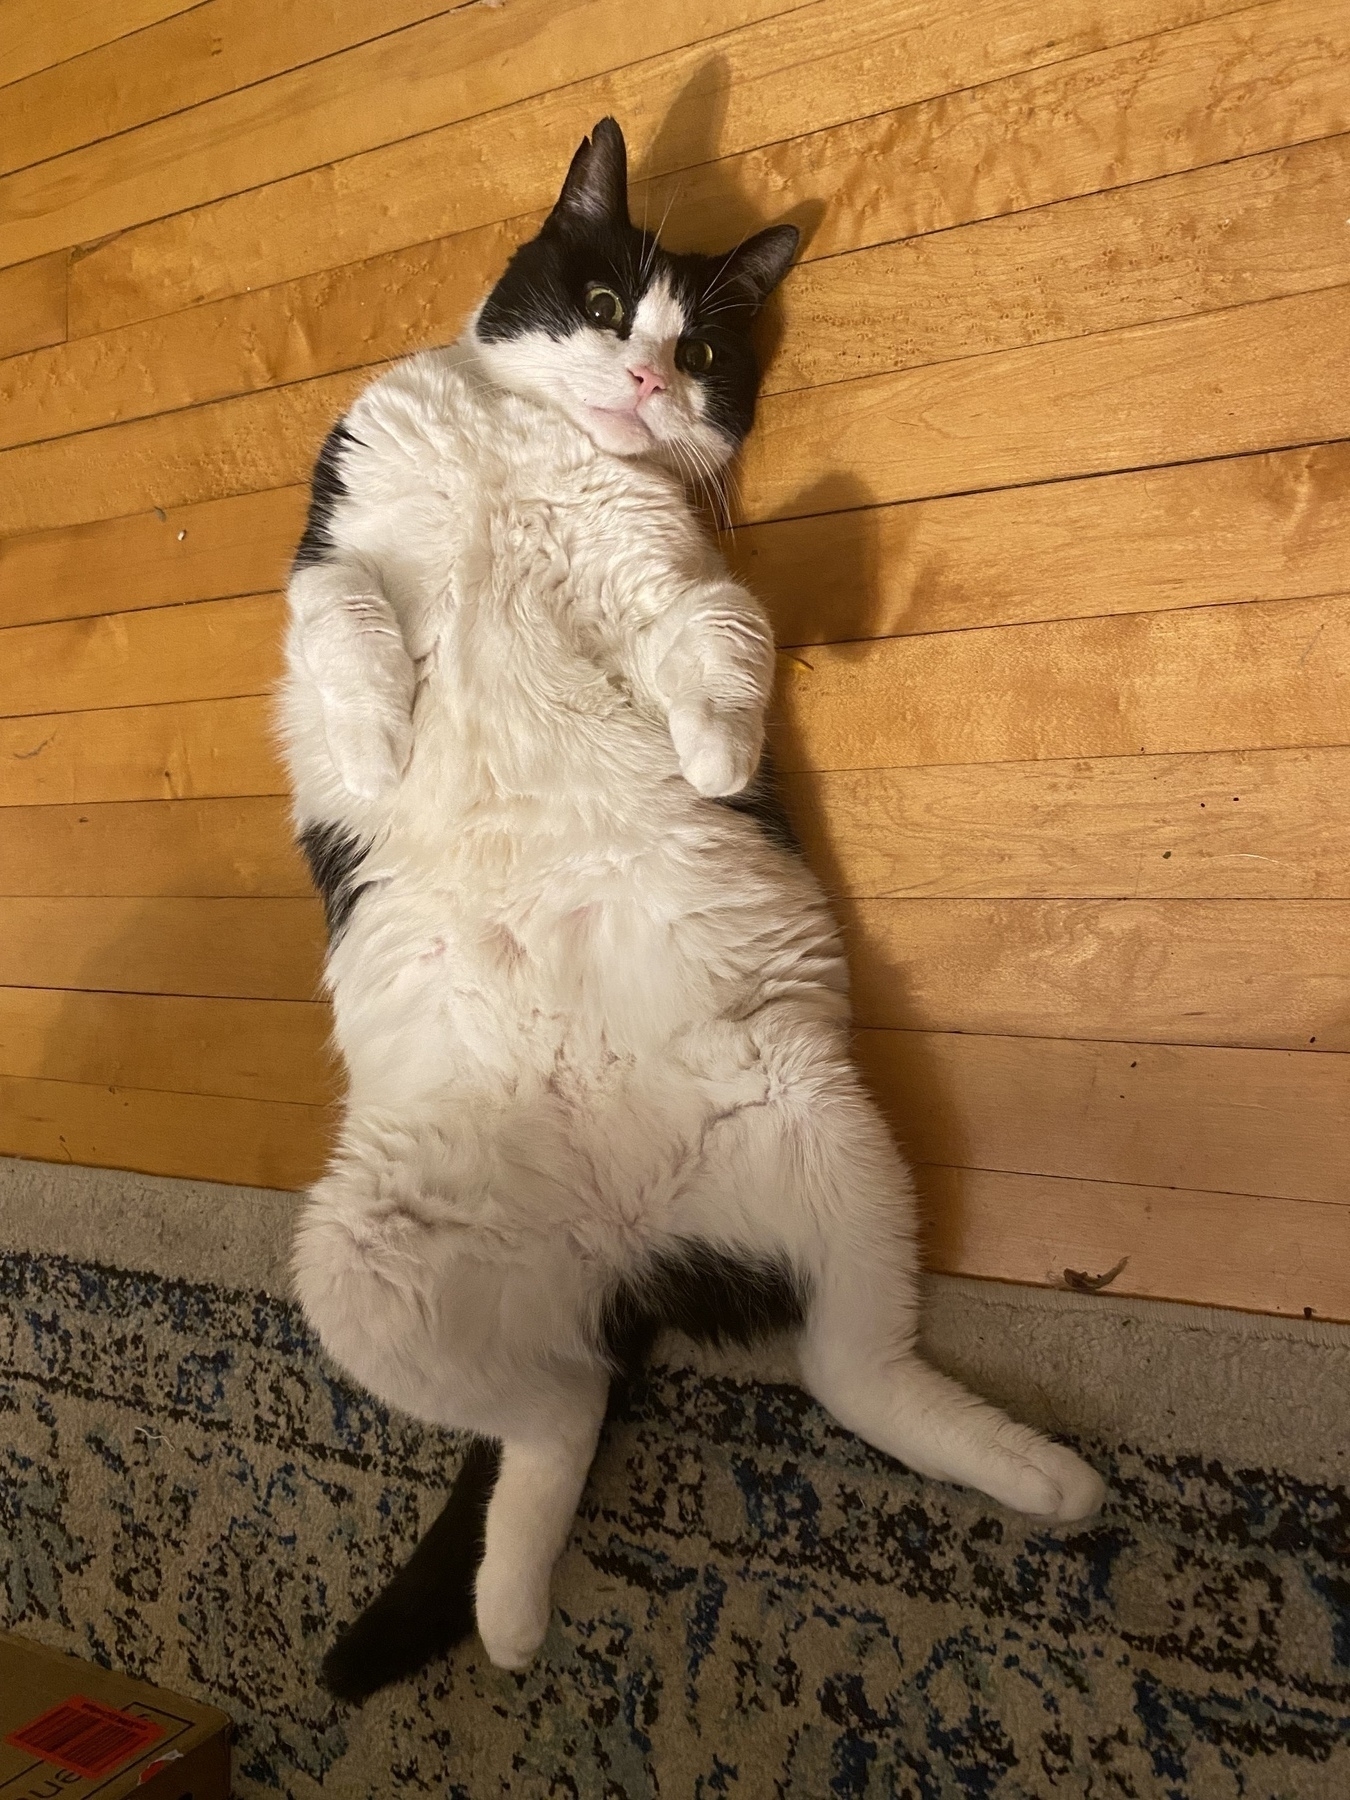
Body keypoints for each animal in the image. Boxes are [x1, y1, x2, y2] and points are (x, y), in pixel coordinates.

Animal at [280, 123, 1101, 1699]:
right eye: (607, 304)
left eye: (705, 345)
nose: (651, 379)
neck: (543, 450)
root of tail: (618, 1251)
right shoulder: (339, 530)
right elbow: (344, 619)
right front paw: (375, 747)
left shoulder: (666, 578)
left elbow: (722, 633)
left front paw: (719, 764)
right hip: (362, 1262)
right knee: (553, 1414)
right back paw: (512, 1622)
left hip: (827, 1138)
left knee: (836, 1371)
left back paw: (1051, 1484)